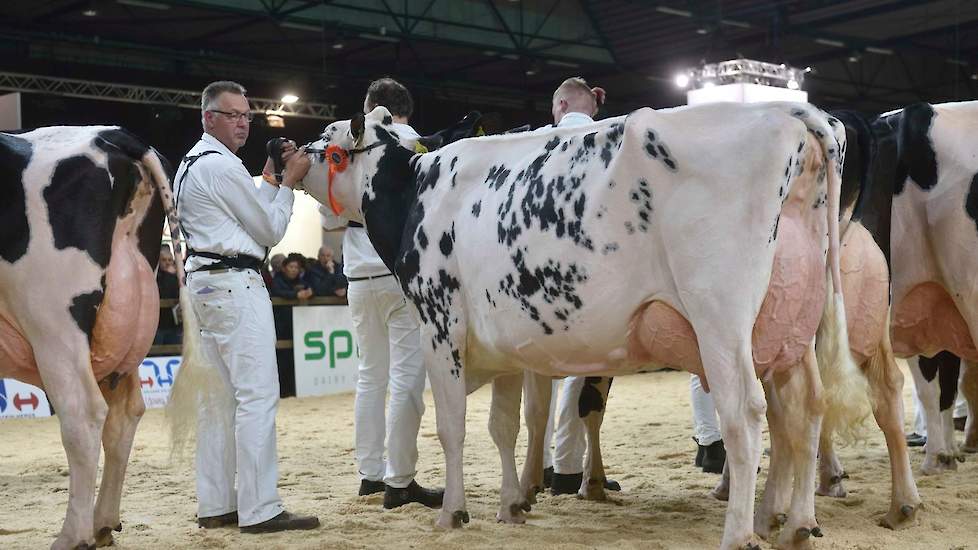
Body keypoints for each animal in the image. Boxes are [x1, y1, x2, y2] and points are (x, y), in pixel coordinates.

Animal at [0, 127, 180, 548]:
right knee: (125, 414)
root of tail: (111, 135)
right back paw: (103, 523)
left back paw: (72, 535)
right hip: (125, 337)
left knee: (82, 415)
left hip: (52, 322)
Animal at [302, 104, 864, 550]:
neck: (421, 193)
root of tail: (790, 111)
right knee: (805, 409)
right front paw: (511, 504)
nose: (290, 147)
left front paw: (453, 512)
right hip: (791, 324)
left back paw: (739, 533)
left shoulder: (440, 326)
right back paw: (796, 522)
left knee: (746, 413)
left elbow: (452, 426)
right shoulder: (504, 343)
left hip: (720, 317)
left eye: (328, 141)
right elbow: (505, 426)